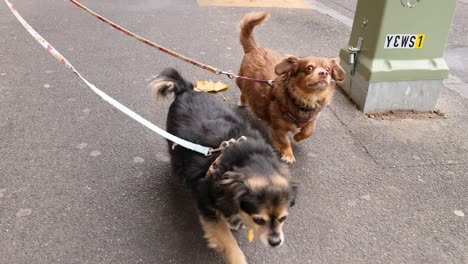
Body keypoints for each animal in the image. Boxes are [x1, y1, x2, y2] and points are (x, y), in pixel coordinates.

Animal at [150, 68, 296, 264]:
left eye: (283, 218)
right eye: (259, 220)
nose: (275, 242)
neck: (245, 160)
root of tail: (186, 90)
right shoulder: (207, 206)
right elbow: (227, 240)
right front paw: (237, 258)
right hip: (175, 144)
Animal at [238, 11, 344, 163]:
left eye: (328, 69)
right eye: (309, 68)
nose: (323, 73)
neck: (306, 99)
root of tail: (255, 48)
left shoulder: (312, 119)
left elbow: (308, 131)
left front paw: (298, 137)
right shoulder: (278, 127)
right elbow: (285, 141)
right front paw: (288, 154)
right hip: (241, 81)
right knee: (243, 91)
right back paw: (242, 101)